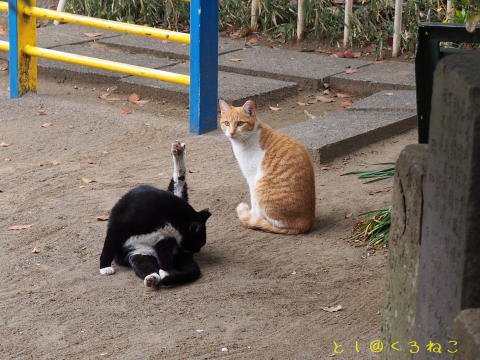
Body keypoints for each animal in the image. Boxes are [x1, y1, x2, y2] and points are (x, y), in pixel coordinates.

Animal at [99, 142, 210, 288]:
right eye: (199, 242)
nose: (196, 251)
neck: (172, 220)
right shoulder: (120, 225)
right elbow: (109, 246)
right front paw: (104, 267)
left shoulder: (166, 240)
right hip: (138, 252)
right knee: (146, 267)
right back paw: (153, 278)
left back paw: (161, 275)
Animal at [220, 98, 316, 235]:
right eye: (227, 123)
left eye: (240, 123)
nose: (231, 133)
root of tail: (306, 223)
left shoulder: (252, 177)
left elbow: (253, 201)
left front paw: (252, 215)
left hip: (261, 185)